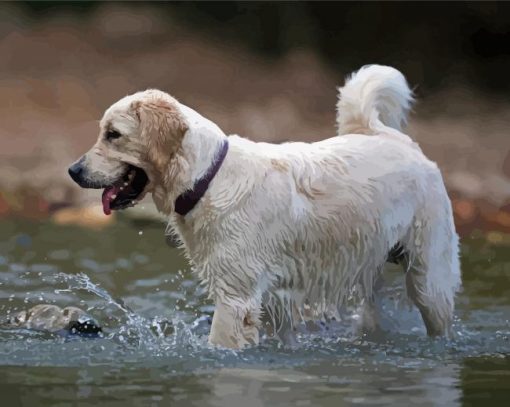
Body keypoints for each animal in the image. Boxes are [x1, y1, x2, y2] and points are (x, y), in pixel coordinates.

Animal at [68, 65, 462, 350]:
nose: (73, 171)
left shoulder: (235, 298)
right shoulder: (270, 301)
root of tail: (392, 137)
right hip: (372, 277)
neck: (207, 179)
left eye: (113, 134)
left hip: (429, 280)